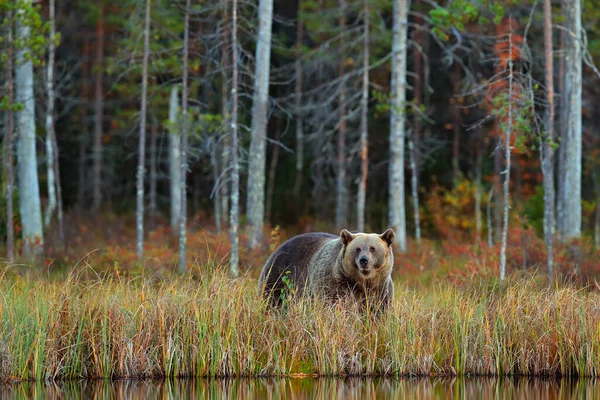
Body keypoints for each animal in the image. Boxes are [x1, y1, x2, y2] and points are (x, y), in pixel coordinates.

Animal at [256, 228, 394, 310]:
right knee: (271, 300)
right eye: (357, 249)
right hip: (278, 276)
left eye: (372, 248)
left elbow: (378, 311)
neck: (361, 282)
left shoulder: (381, 289)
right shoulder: (334, 284)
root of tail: (278, 248)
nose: (364, 260)